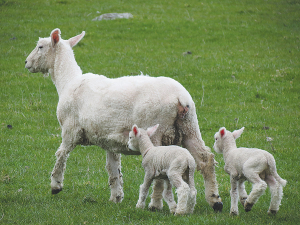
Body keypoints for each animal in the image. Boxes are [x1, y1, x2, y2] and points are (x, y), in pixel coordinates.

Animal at [24, 28, 224, 211]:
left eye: (40, 46)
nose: (26, 63)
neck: (67, 81)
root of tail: (180, 97)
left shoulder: (70, 129)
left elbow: (61, 154)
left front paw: (56, 185)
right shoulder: (108, 139)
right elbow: (113, 168)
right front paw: (116, 196)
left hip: (157, 128)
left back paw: (155, 204)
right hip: (189, 126)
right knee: (206, 159)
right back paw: (215, 200)